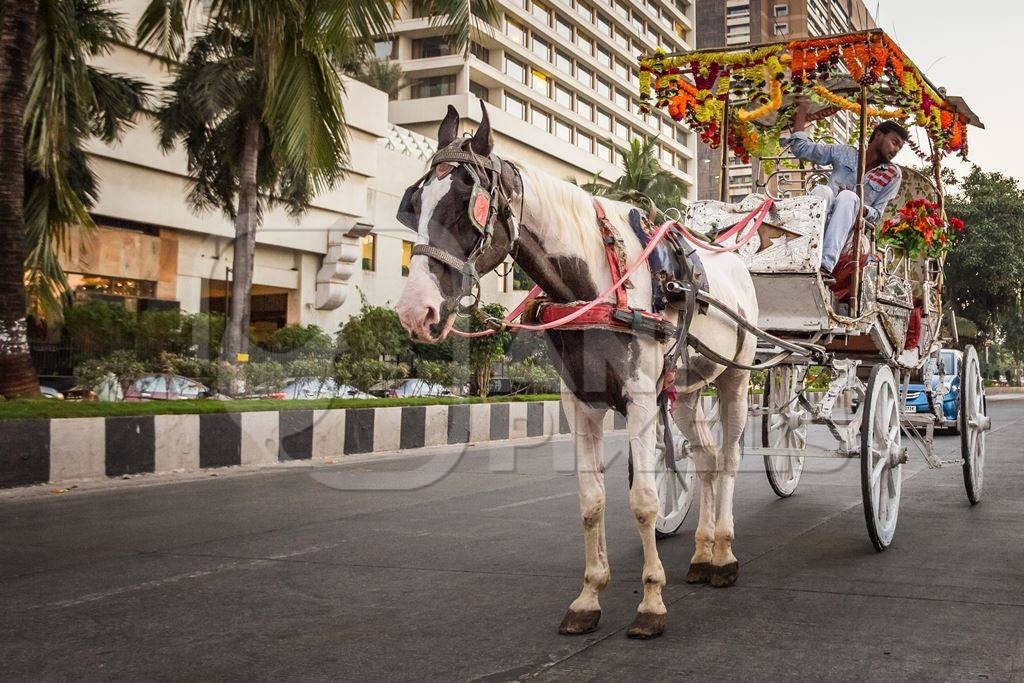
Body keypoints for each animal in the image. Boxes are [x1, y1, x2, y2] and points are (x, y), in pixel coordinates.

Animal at [395, 102, 757, 643]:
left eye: (465, 203)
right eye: (413, 204)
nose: (415, 312)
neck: (597, 281)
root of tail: (733, 259)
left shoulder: (641, 398)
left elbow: (644, 500)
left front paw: (651, 603)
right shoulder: (580, 403)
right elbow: (591, 502)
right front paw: (588, 598)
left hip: (736, 376)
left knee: (730, 459)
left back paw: (726, 554)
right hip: (687, 389)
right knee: (708, 459)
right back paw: (702, 553)